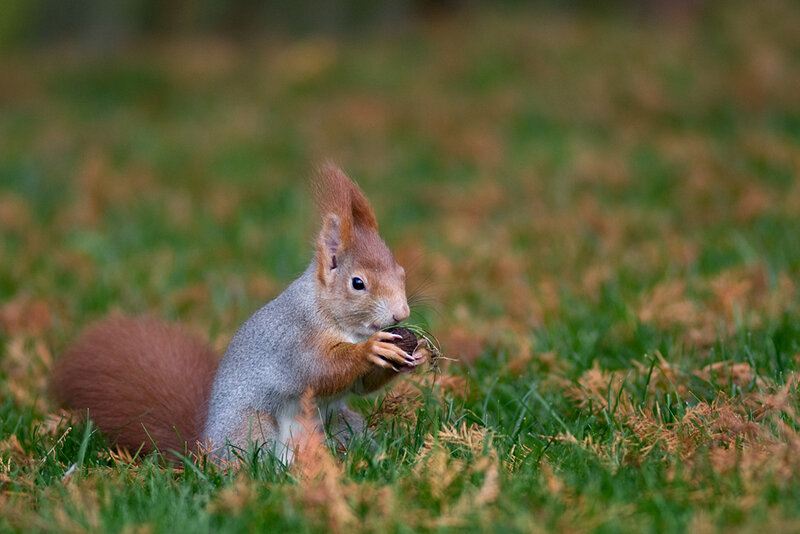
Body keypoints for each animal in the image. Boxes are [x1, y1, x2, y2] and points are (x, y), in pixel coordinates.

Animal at [51, 163, 427, 463]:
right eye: (358, 283)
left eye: (402, 272)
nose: (401, 313)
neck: (337, 319)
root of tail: (202, 446)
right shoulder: (293, 341)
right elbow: (320, 369)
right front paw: (371, 349)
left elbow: (361, 385)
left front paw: (414, 352)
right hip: (251, 428)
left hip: (340, 423)